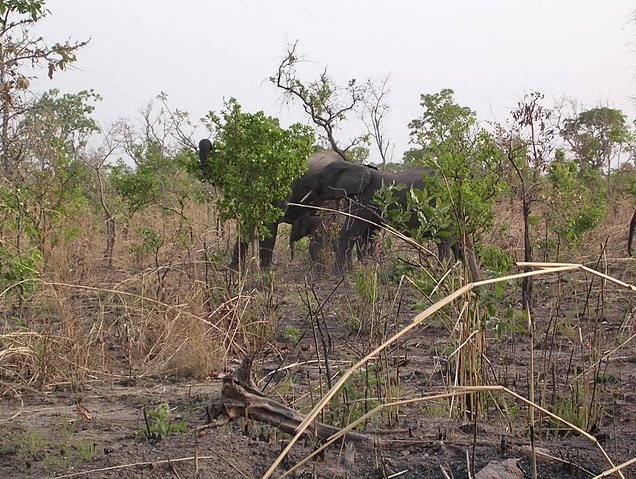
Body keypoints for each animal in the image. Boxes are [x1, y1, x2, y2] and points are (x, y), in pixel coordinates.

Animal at [296, 160, 460, 272]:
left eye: (321, 177)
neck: (353, 166)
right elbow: (369, 234)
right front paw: (368, 268)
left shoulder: (365, 198)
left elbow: (351, 231)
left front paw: (340, 275)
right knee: (456, 242)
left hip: (440, 209)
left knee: (444, 240)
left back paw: (441, 272)